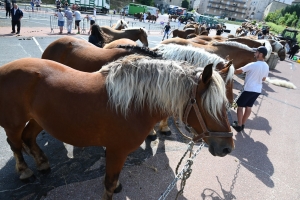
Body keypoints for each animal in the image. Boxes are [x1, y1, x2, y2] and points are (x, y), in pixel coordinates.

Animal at [0, 54, 233, 198]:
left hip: (39, 119)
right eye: (210, 107)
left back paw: (42, 163)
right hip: (14, 122)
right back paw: (25, 171)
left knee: (28, 137)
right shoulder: (116, 151)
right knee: (15, 143)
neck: (134, 104)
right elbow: (109, 184)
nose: (227, 147)